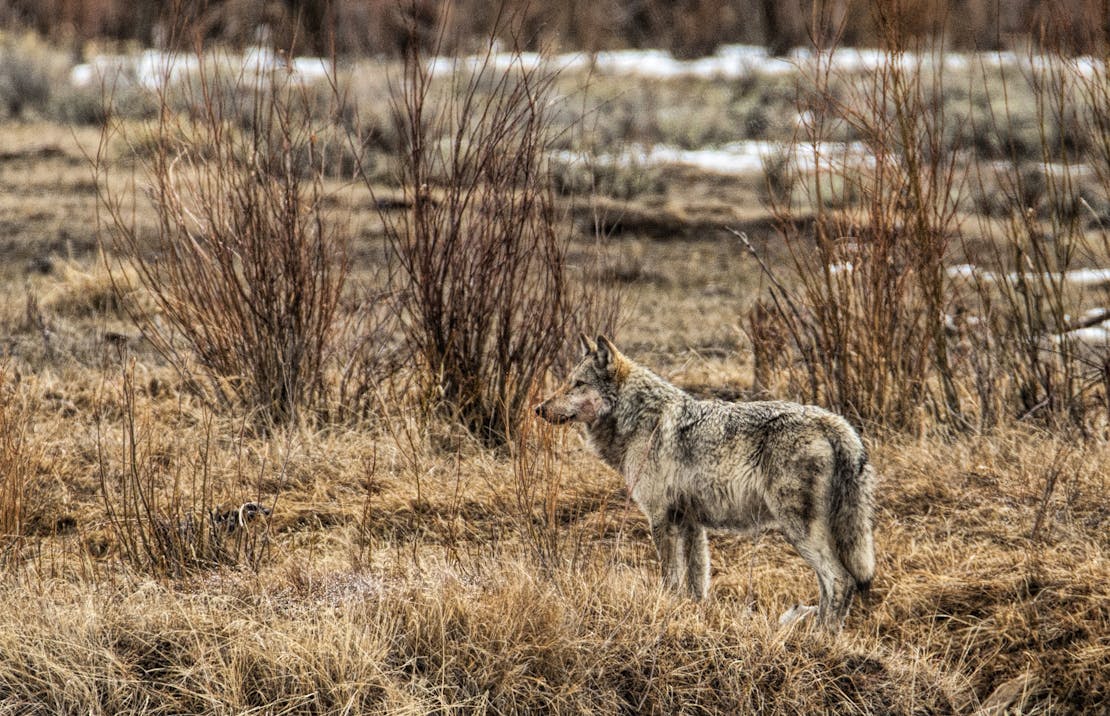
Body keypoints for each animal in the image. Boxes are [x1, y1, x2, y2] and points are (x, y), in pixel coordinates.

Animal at [537, 333, 874, 630]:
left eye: (577, 384)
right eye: (568, 382)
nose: (539, 408)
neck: (640, 419)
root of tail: (836, 423)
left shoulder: (661, 518)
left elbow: (670, 578)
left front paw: (666, 608)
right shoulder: (691, 522)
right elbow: (696, 581)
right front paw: (692, 614)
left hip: (798, 530)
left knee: (841, 581)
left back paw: (821, 638)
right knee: (830, 585)